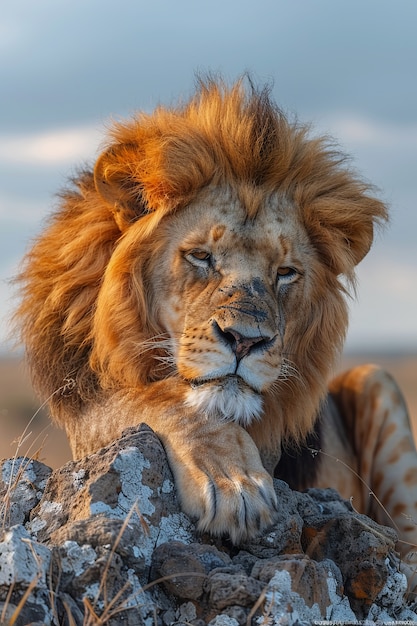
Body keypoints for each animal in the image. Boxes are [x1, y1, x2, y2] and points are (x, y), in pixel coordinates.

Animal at [14, 78, 416, 576]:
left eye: (285, 272)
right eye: (201, 256)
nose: (245, 340)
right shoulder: (85, 412)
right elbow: (162, 397)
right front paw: (233, 485)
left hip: (376, 380)